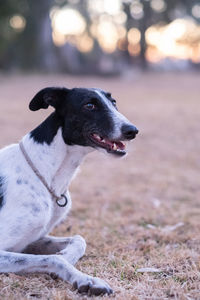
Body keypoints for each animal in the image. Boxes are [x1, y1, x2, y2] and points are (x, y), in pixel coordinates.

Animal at [0, 86, 138, 296]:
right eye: (89, 105)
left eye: (113, 102)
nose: (133, 130)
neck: (44, 174)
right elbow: (54, 258)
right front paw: (86, 279)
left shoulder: (32, 239)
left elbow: (79, 240)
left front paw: (67, 255)